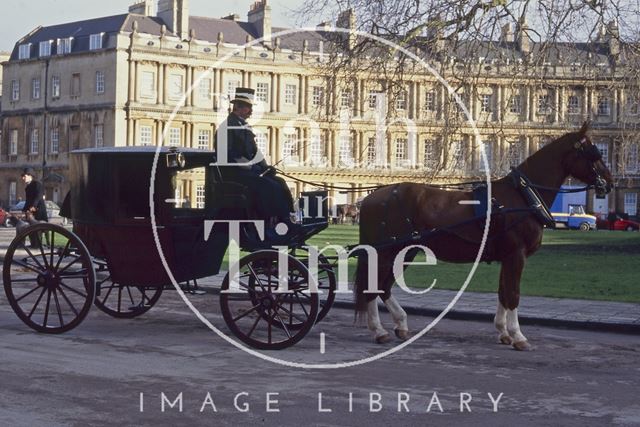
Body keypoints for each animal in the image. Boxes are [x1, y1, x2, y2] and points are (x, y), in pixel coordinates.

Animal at [356, 123, 616, 352]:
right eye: (593, 153)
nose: (610, 182)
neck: (522, 196)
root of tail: (371, 197)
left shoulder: (508, 256)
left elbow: (503, 293)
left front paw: (503, 331)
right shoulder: (517, 255)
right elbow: (513, 295)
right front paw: (518, 336)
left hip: (405, 251)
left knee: (383, 287)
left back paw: (399, 324)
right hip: (387, 252)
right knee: (374, 287)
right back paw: (379, 330)